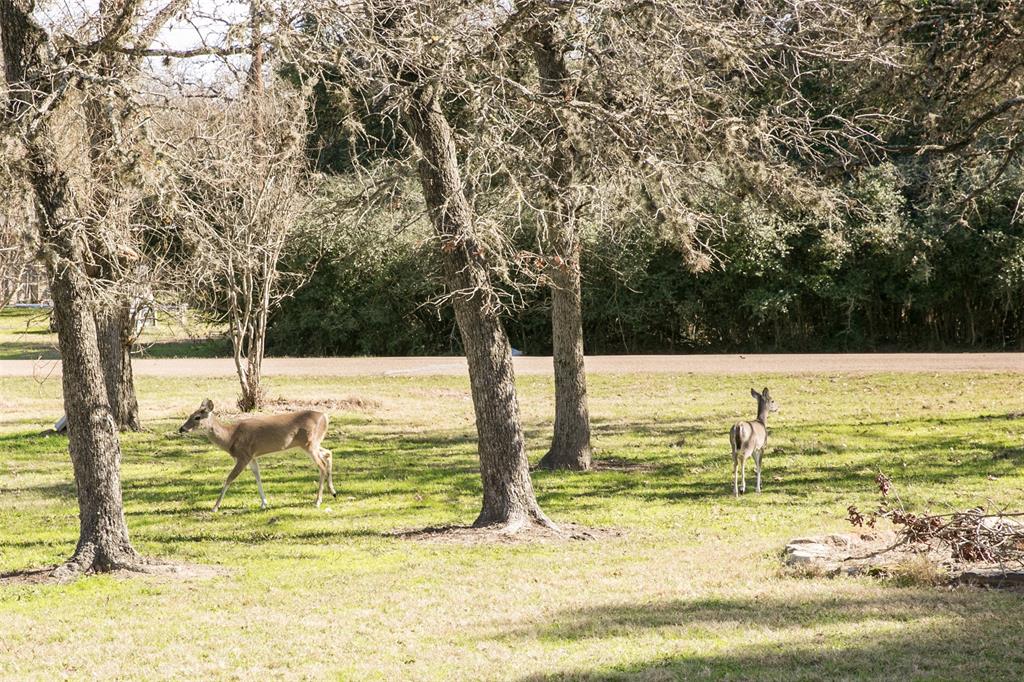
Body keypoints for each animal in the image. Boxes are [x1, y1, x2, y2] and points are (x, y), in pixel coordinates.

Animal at [177, 399, 335, 509]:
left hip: (309, 443)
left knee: (321, 465)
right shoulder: (252, 456)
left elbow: (229, 478)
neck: (230, 437)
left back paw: (318, 501)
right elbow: (257, 476)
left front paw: (215, 506)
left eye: (197, 417)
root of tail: (325, 417)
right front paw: (264, 503)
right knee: (328, 453)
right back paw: (333, 491)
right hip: (313, 443)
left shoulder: (243, 455)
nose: (181, 429)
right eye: (190, 414)